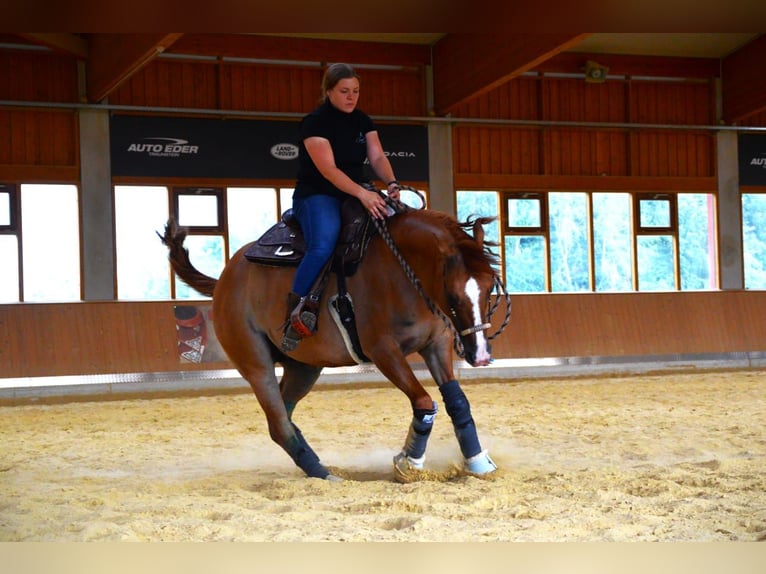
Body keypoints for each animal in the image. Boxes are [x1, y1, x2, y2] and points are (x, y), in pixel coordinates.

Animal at [160, 202, 512, 482]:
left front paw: (478, 462)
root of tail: (223, 281)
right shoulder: (384, 351)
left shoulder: (435, 344)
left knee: (284, 415)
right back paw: (324, 474)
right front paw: (409, 461)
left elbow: (458, 403)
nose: (480, 355)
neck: (401, 271)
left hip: (303, 367)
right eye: (452, 296)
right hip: (255, 364)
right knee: (278, 423)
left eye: (488, 288)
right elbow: (425, 402)